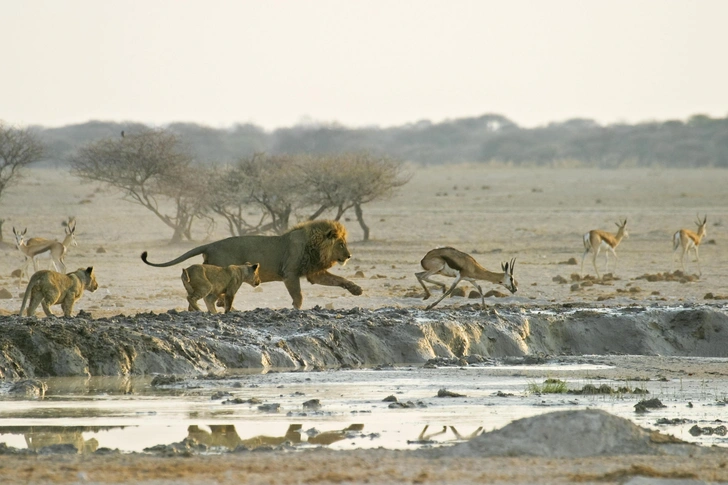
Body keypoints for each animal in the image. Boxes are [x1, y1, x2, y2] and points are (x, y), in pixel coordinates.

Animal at [141, 219, 362, 306]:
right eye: (341, 244)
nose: (349, 256)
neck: (314, 246)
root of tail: (210, 245)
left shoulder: (314, 273)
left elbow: (338, 280)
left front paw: (356, 290)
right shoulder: (290, 273)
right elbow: (298, 296)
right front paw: (296, 308)